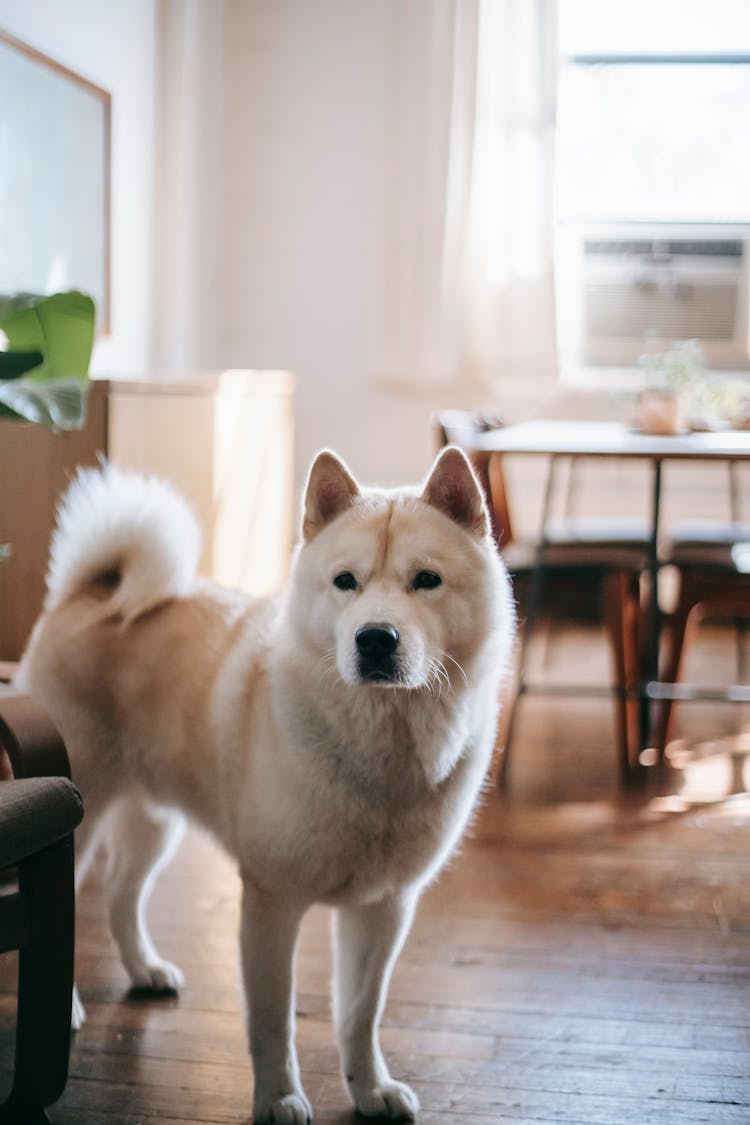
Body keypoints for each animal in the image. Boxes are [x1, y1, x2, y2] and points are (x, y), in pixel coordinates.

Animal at [14, 447, 517, 1125]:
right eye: (345, 582)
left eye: (427, 580)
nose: (375, 638)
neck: (380, 741)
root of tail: (93, 590)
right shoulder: (273, 901)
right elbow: (274, 1019)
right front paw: (278, 1097)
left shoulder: (383, 909)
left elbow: (360, 1014)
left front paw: (370, 1089)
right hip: (82, 819)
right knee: (72, 906)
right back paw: (63, 1008)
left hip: (155, 821)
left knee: (121, 895)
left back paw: (146, 969)